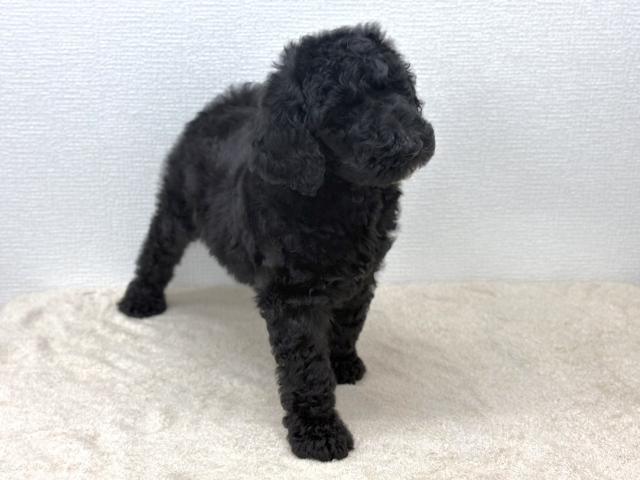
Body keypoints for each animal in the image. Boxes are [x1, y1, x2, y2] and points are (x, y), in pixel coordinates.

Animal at [118, 23, 435, 461]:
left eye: (395, 86)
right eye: (341, 111)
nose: (410, 143)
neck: (343, 195)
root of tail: (223, 102)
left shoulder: (361, 275)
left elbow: (349, 323)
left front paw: (344, 364)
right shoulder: (294, 297)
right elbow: (306, 368)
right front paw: (318, 433)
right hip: (177, 204)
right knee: (158, 249)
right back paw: (140, 299)